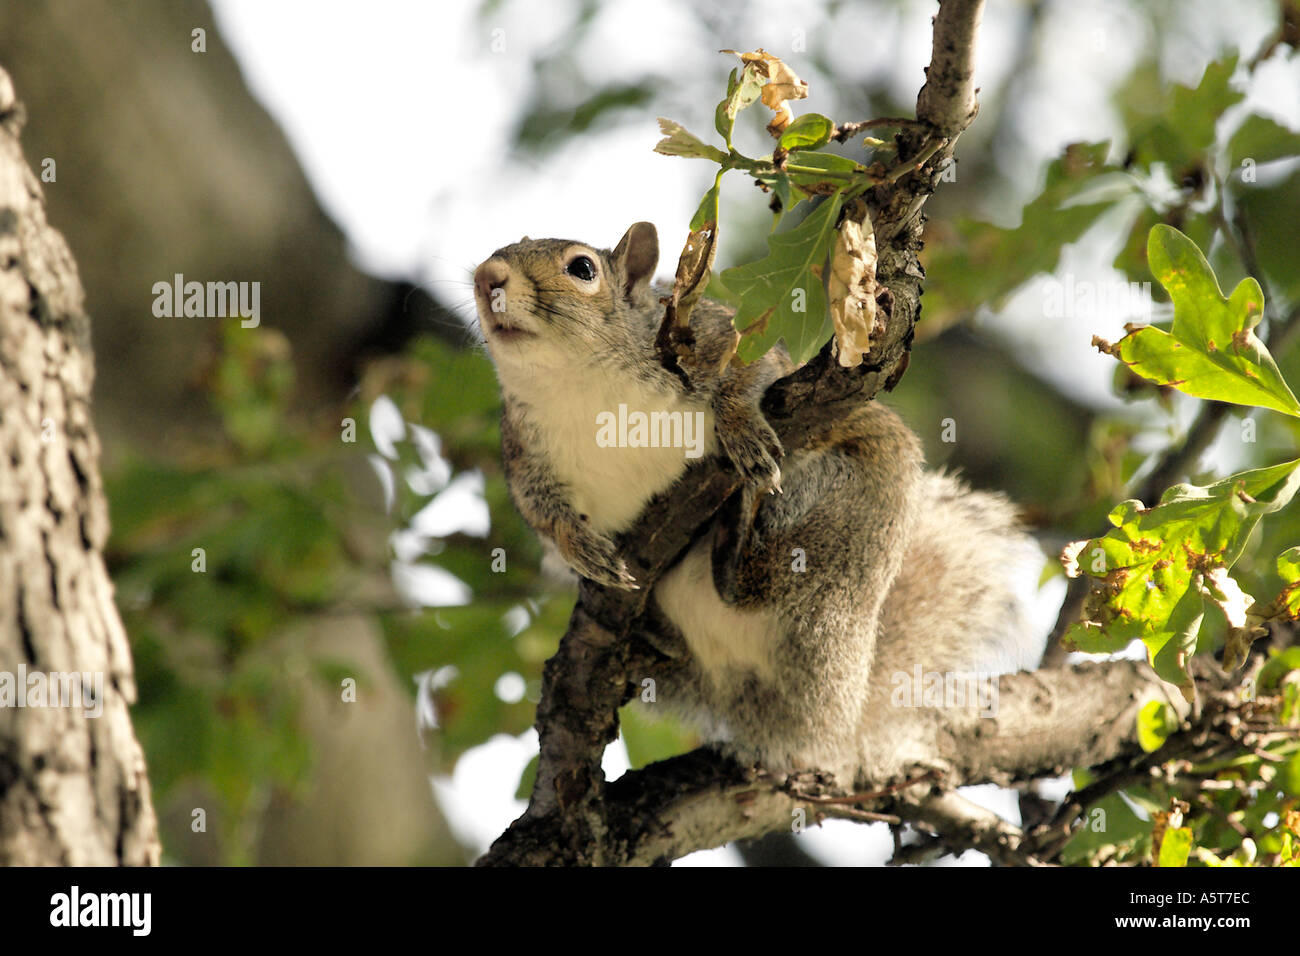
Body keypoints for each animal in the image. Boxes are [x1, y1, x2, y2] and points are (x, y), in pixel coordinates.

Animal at [475, 222, 1045, 785]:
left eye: (582, 269)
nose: (487, 277)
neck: (578, 386)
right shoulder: (523, 455)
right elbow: (540, 512)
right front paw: (580, 547)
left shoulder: (705, 336)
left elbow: (751, 369)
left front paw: (740, 428)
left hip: (851, 514)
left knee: (757, 582)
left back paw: (735, 535)